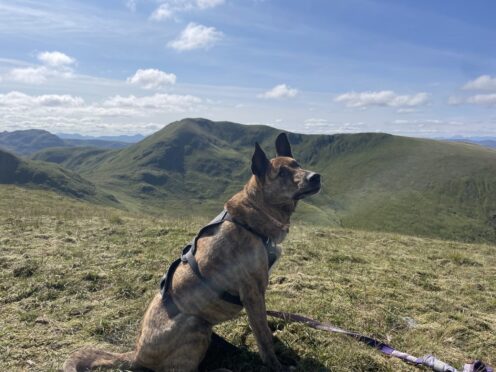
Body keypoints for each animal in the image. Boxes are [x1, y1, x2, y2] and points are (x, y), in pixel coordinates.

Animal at [63, 132, 322, 370]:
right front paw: (277, 364)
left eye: (297, 164)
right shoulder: (252, 292)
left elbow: (264, 328)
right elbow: (263, 337)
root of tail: (135, 355)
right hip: (197, 325)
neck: (254, 213)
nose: (316, 176)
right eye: (282, 173)